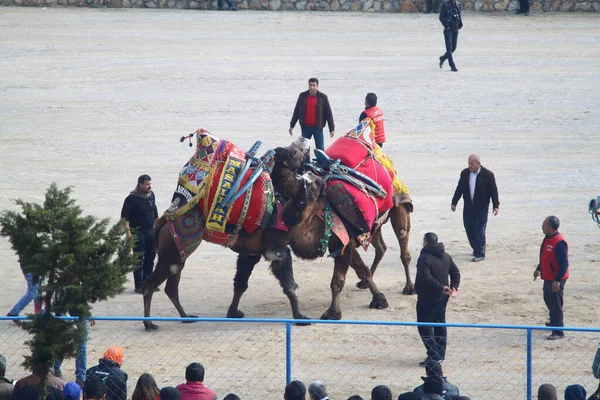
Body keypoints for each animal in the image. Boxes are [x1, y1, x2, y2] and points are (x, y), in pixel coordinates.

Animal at [141, 131, 324, 332]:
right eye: (292, 152)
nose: (304, 140)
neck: (282, 206)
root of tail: (162, 221)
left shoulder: (252, 251)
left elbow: (241, 282)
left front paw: (233, 312)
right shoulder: (277, 248)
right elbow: (289, 285)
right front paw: (300, 317)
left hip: (177, 251)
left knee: (171, 286)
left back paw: (186, 317)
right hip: (172, 249)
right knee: (151, 284)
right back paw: (149, 323)